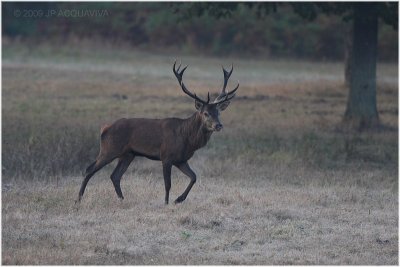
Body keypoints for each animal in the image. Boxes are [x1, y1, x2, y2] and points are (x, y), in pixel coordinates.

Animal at [76, 61, 239, 205]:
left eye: (218, 112)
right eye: (206, 113)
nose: (218, 125)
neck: (187, 138)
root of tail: (104, 128)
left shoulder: (181, 160)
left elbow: (194, 177)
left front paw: (179, 199)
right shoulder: (166, 156)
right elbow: (168, 184)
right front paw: (166, 202)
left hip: (128, 154)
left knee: (115, 176)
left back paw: (122, 199)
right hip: (109, 149)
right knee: (89, 169)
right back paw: (79, 199)